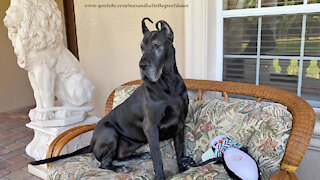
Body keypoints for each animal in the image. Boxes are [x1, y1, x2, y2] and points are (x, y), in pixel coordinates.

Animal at [30, 17, 189, 179]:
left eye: (157, 45)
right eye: (142, 47)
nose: (142, 65)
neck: (169, 84)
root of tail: (91, 143)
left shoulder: (180, 125)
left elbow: (180, 153)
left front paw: (182, 169)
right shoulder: (151, 127)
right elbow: (158, 160)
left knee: (119, 156)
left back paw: (140, 156)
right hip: (110, 133)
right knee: (104, 163)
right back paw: (121, 168)